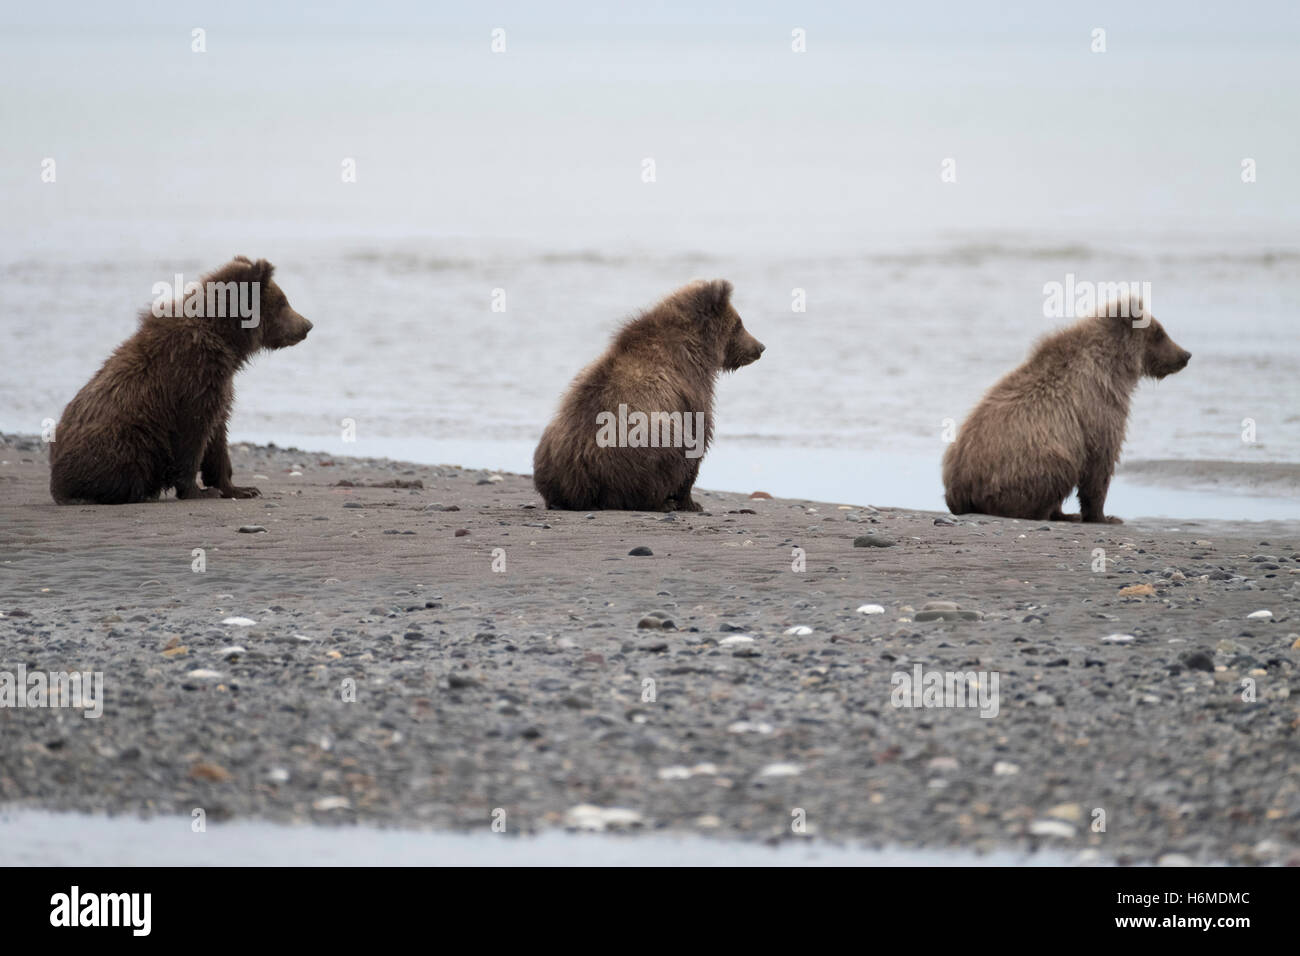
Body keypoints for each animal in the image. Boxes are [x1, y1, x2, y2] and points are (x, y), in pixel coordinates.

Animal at [49, 256, 312, 505]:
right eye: (283, 302)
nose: (307, 325)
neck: (225, 340)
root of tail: (56, 480)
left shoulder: (219, 382)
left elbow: (217, 434)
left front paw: (240, 488)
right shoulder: (193, 377)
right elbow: (193, 434)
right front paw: (199, 491)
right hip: (127, 437)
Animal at [533, 279, 764, 511]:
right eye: (739, 324)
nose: (760, 347)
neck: (697, 349)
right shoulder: (690, 391)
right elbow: (697, 438)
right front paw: (691, 502)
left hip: (552, 447)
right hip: (638, 451)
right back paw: (662, 503)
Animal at [942, 297, 1190, 524]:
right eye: (1159, 333)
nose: (1185, 355)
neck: (1114, 367)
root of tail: (959, 489)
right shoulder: (1099, 408)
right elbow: (1100, 465)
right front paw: (1104, 516)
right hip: (1024, 466)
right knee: (1059, 470)